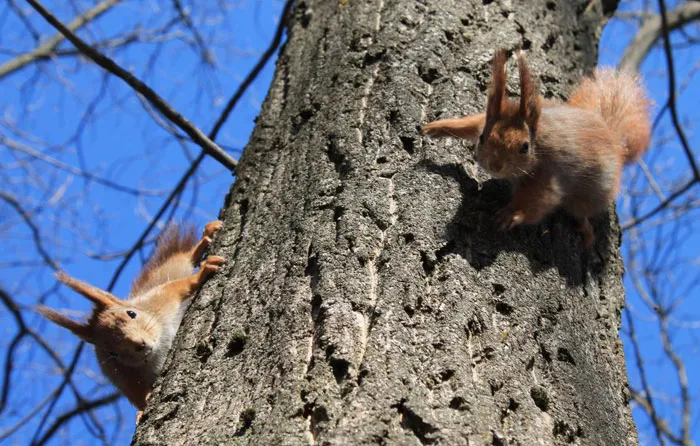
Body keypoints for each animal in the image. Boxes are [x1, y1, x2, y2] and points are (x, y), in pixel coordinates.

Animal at [38, 220, 224, 422]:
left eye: (132, 314)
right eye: (112, 353)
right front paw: (142, 409)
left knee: (182, 260)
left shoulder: (163, 298)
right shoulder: (121, 376)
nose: (139, 344)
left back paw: (207, 235)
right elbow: (136, 395)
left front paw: (202, 272)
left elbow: (180, 286)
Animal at [424, 49, 652, 247]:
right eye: (482, 138)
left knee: (581, 212)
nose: (495, 166)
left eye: (525, 147)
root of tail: (612, 137)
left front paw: (513, 214)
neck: (539, 140)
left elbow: (541, 200)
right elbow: (471, 122)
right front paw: (439, 127)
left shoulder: (548, 174)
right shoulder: (484, 120)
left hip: (592, 194)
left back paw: (586, 230)